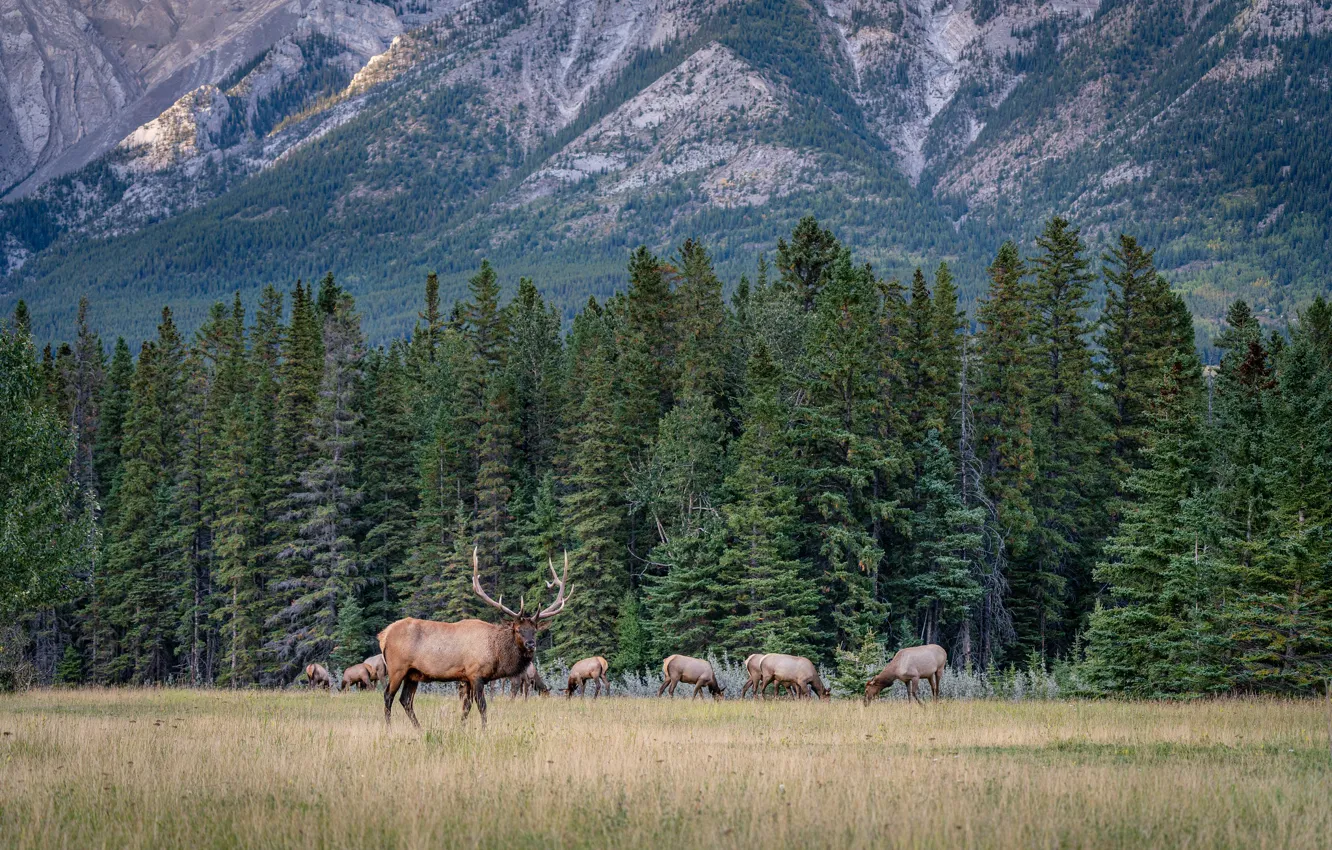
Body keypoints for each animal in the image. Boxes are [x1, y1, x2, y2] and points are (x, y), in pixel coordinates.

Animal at [378, 548, 570, 728]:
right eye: (517, 629)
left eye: (535, 630)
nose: (531, 644)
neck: (496, 653)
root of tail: (384, 635)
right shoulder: (475, 674)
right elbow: (482, 706)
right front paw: (484, 730)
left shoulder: (466, 678)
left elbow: (466, 707)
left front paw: (461, 728)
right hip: (397, 668)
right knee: (388, 695)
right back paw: (389, 728)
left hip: (413, 674)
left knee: (405, 700)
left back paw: (419, 729)